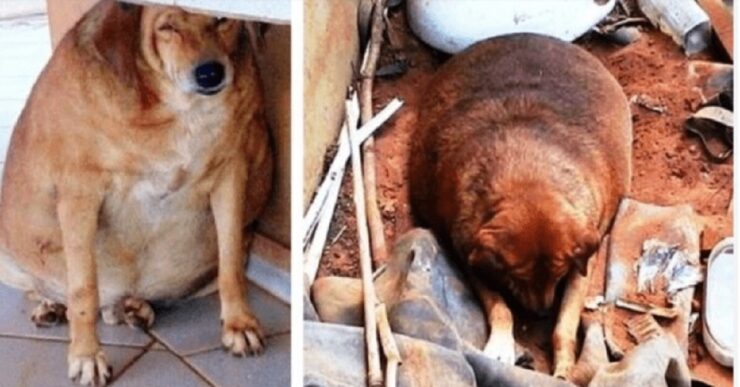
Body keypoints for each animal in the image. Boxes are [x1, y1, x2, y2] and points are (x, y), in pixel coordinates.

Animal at [0, 1, 274, 386]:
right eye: (167, 27)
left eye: (222, 19)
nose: (210, 74)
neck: (175, 110)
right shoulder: (79, 194)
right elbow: (82, 287)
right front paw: (86, 355)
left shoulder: (231, 174)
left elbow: (230, 263)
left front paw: (239, 324)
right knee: (50, 289)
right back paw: (52, 305)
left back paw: (135, 307)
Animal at [408, 34, 632, 378]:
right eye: (515, 277)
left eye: (558, 273)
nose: (540, 313)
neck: (530, 179)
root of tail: (522, 35)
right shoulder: (471, 255)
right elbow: (501, 308)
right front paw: (502, 345)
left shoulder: (583, 262)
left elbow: (564, 326)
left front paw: (564, 367)